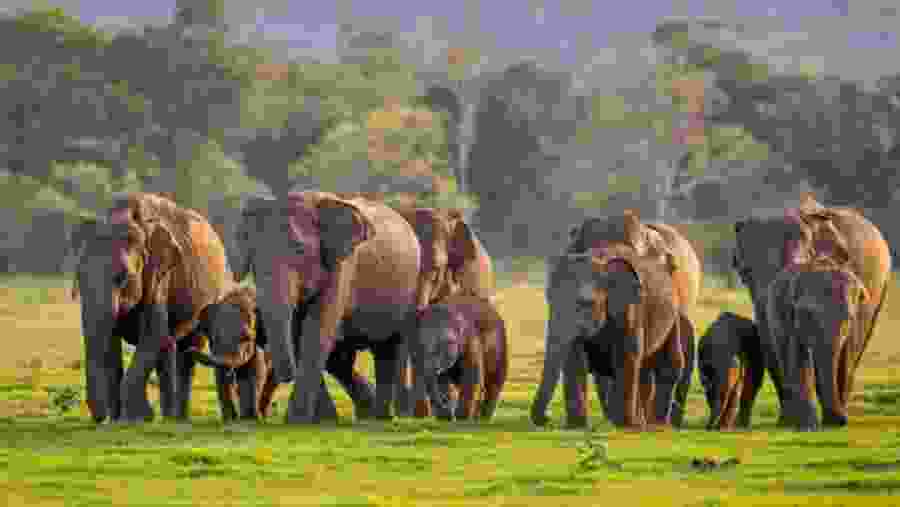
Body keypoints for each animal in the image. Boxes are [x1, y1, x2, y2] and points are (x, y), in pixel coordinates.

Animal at [72, 192, 232, 423]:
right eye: (79, 276)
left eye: (122, 277)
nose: (99, 418)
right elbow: (111, 343)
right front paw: (120, 420)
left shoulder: (161, 276)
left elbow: (152, 333)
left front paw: (139, 417)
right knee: (169, 347)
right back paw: (171, 418)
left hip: (215, 292)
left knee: (188, 351)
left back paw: (176, 420)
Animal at [231, 191, 421, 423]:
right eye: (252, 256)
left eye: (300, 250)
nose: (285, 376)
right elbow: (299, 334)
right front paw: (321, 419)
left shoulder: (342, 265)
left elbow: (316, 331)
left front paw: (297, 421)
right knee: (345, 359)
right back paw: (368, 413)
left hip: (409, 287)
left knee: (388, 348)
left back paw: (380, 417)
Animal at [408, 293, 508, 421]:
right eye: (420, 344)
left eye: (446, 344)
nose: (447, 412)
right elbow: (442, 380)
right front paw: (446, 418)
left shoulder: (471, 340)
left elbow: (472, 376)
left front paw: (462, 418)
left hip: (501, 347)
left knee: (493, 383)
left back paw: (483, 418)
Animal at [531, 211, 702, 429]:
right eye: (549, 298)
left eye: (586, 303)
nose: (547, 418)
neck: (599, 256)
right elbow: (574, 356)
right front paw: (577, 427)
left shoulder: (632, 302)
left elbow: (627, 352)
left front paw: (624, 425)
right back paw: (639, 422)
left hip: (675, 303)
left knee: (668, 361)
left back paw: (654, 425)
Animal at [765, 257, 871, 430]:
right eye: (808, 315)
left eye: (848, 318)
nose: (841, 421)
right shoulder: (790, 314)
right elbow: (798, 356)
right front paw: (808, 426)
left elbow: (843, 355)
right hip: (773, 316)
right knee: (784, 357)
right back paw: (788, 423)